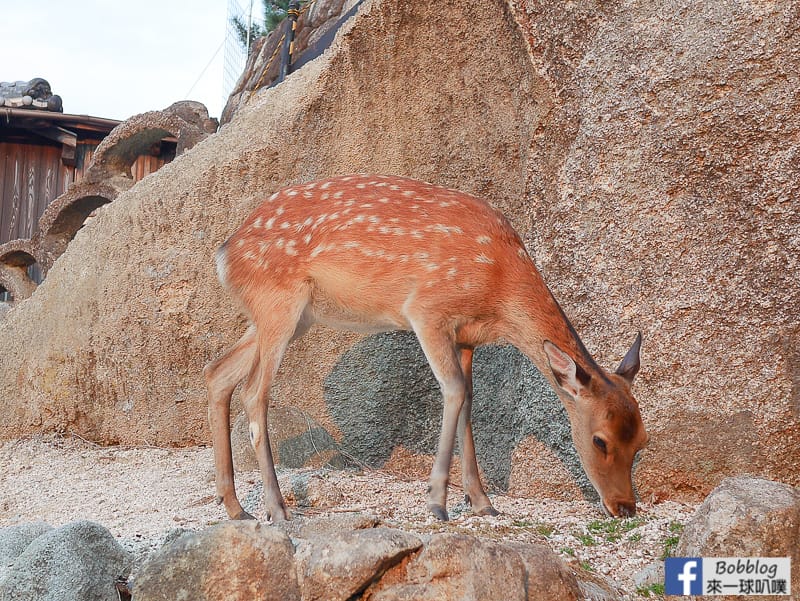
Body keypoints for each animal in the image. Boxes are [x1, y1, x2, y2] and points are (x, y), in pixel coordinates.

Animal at [203, 173, 648, 520]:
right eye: (600, 440)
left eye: (642, 441)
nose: (625, 507)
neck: (499, 289)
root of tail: (224, 254)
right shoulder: (427, 310)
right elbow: (453, 391)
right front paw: (437, 502)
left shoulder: (466, 338)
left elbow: (469, 402)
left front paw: (482, 501)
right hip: (280, 302)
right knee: (253, 391)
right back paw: (276, 508)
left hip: (287, 316)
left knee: (218, 372)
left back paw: (236, 507)